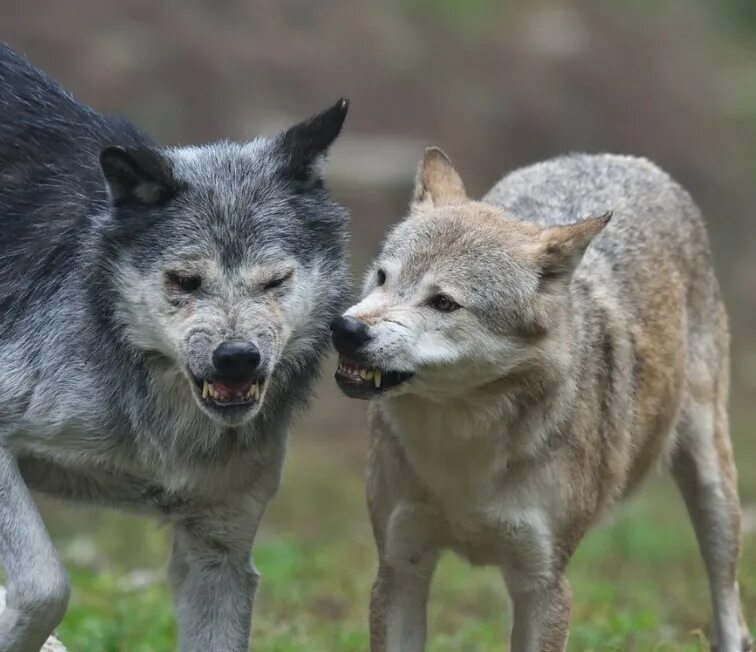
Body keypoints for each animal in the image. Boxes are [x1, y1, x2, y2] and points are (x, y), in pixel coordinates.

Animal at [330, 149, 752, 652]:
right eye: (382, 277)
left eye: (443, 303)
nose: (345, 330)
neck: (460, 456)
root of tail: (621, 158)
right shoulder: (400, 570)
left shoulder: (544, 584)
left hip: (712, 490)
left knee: (730, 613)